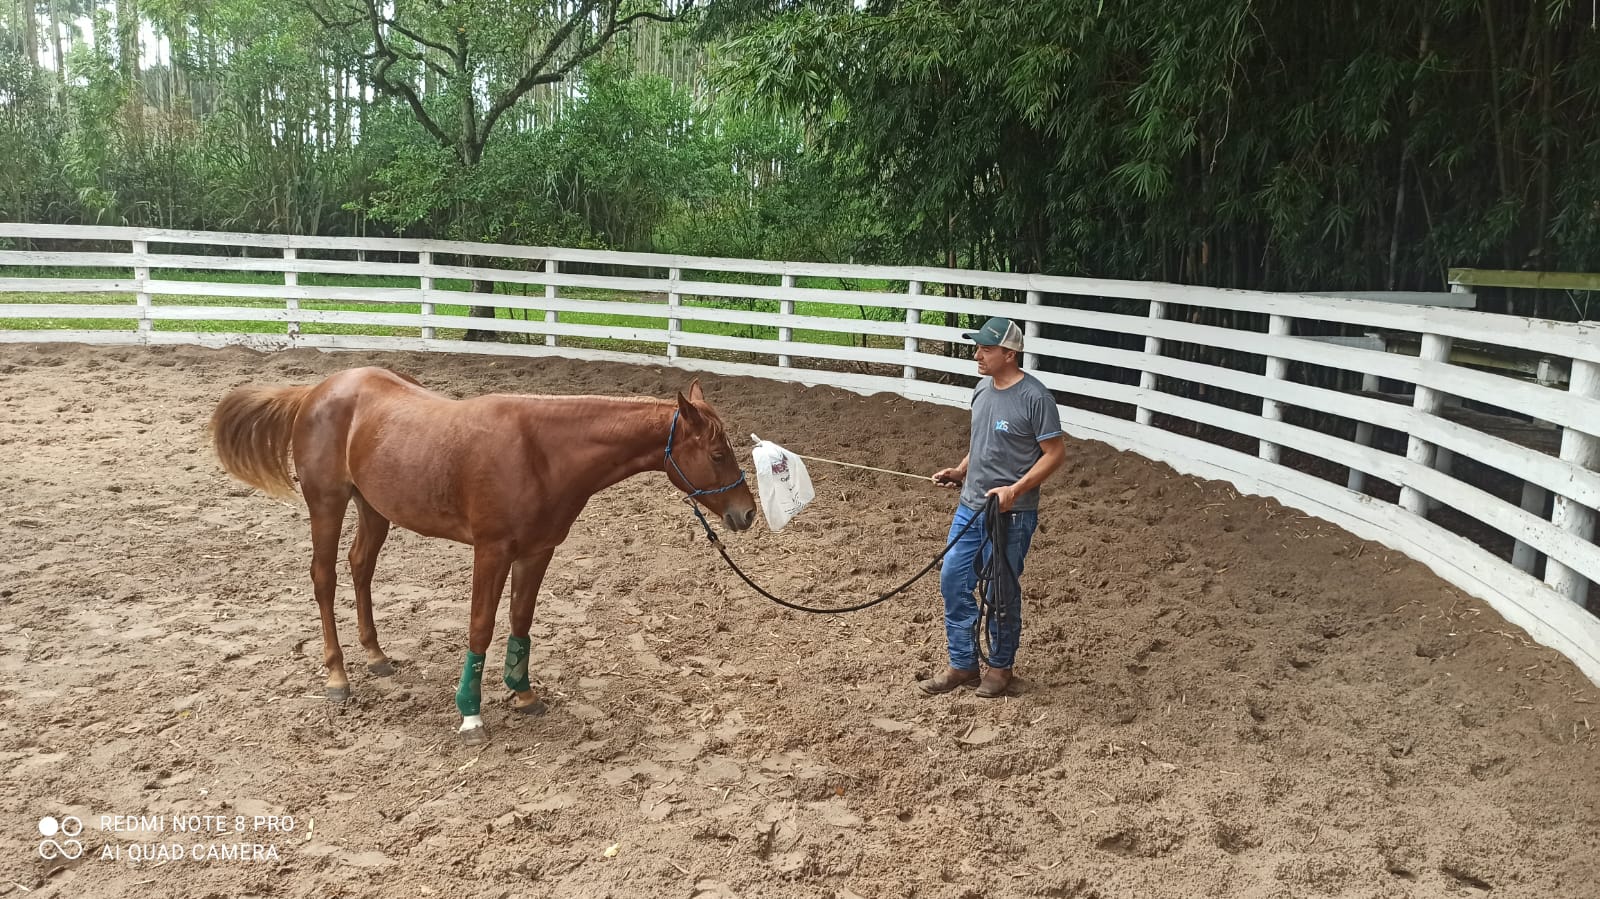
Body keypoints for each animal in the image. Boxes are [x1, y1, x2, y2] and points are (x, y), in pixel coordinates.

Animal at [209, 367, 756, 744]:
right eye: (717, 454)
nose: (746, 512)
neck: (542, 452)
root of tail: (315, 392)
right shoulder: (490, 552)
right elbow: (481, 626)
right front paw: (470, 713)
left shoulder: (537, 551)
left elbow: (520, 620)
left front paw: (523, 692)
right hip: (327, 503)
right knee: (324, 578)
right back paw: (338, 677)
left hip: (374, 508)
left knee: (360, 567)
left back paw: (376, 655)